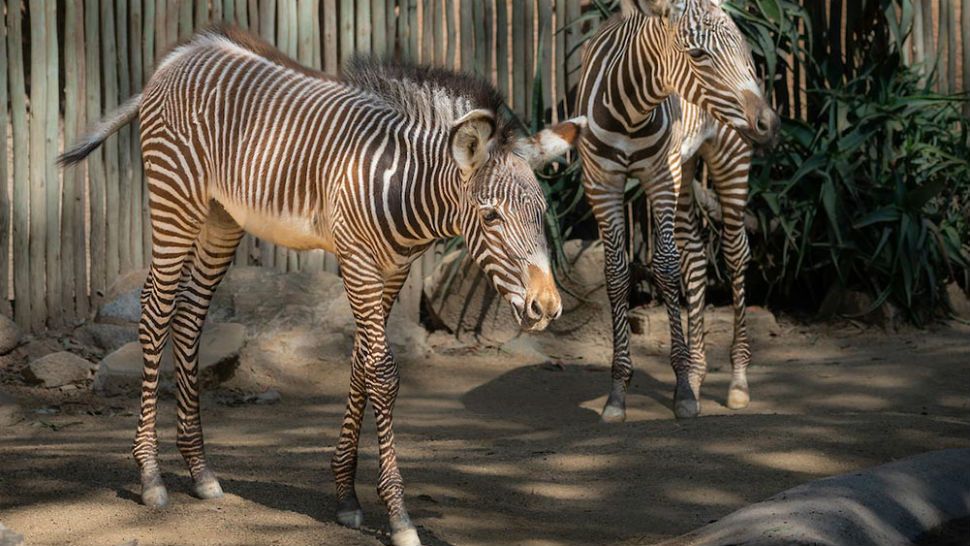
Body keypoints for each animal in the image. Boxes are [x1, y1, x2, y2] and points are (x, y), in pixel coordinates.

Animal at [60, 25, 584, 544]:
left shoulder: (392, 270)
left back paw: (200, 470)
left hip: (221, 215)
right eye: (491, 217)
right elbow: (383, 374)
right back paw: (151, 476)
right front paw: (398, 516)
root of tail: (181, 55)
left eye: (543, 213)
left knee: (190, 315)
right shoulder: (357, 259)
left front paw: (346, 498)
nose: (547, 307)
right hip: (175, 199)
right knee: (155, 311)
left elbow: (361, 365)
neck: (403, 188)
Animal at [576, 0, 780, 416]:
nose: (769, 123)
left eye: (742, 51)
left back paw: (737, 380)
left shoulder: (660, 177)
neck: (630, 110)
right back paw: (699, 372)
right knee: (697, 256)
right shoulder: (601, 184)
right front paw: (619, 392)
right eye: (698, 55)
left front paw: (683, 389)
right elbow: (617, 274)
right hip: (685, 168)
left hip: (728, 156)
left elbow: (667, 269)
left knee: (735, 253)